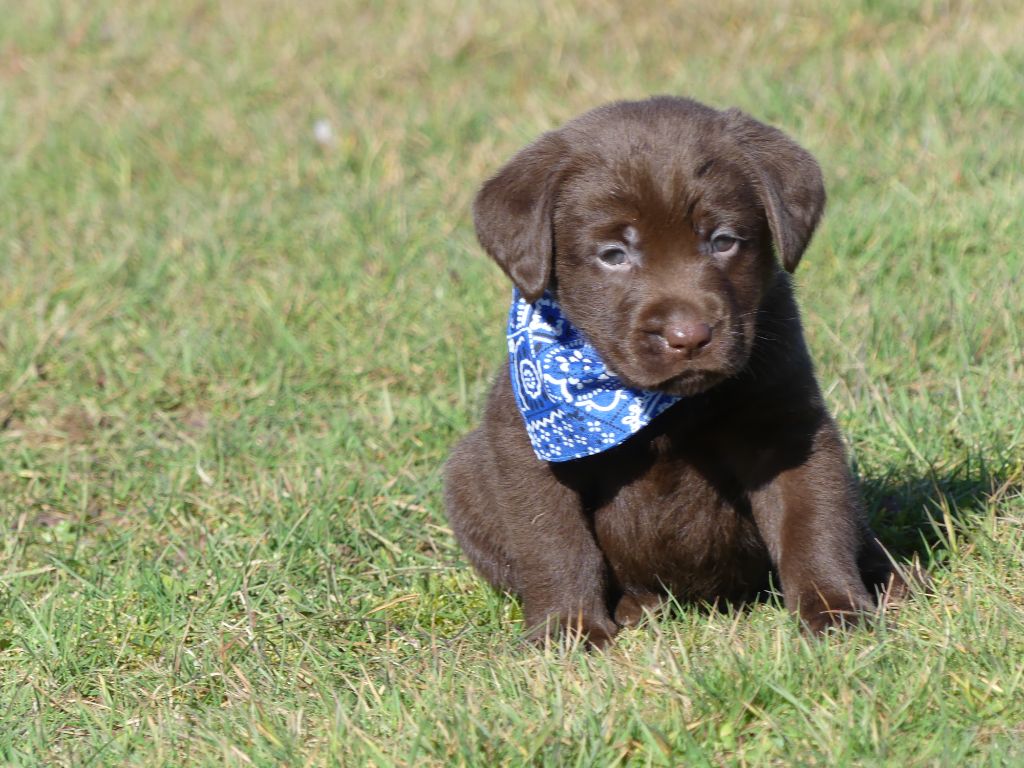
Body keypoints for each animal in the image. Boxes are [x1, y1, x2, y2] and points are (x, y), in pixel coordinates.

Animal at [446, 97, 897, 651]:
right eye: (613, 255)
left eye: (722, 241)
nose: (689, 337)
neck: (651, 407)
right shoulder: (524, 447)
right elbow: (555, 543)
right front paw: (569, 629)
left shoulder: (789, 428)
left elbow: (812, 523)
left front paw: (835, 610)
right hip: (465, 474)